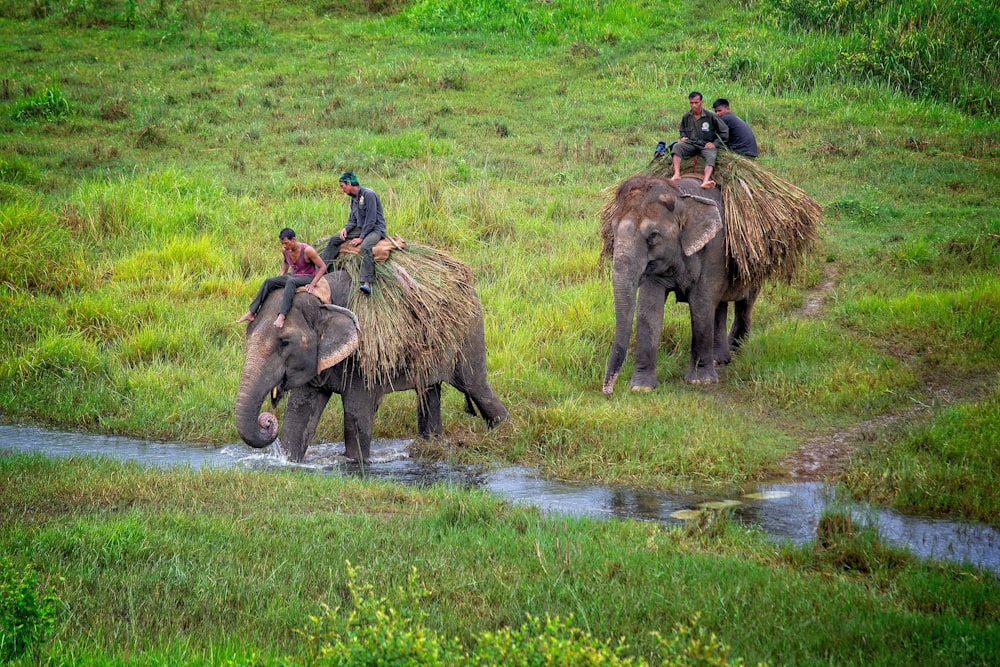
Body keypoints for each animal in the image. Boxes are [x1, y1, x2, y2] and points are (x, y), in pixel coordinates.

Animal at [234, 268, 508, 462]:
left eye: (285, 342)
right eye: (247, 333)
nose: (267, 421)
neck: (323, 298)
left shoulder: (364, 353)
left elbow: (356, 414)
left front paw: (357, 464)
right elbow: (299, 414)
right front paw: (290, 462)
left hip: (469, 331)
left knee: (475, 386)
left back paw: (503, 432)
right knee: (429, 392)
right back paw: (430, 446)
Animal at [604, 175, 760, 392]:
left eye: (653, 236)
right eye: (612, 230)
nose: (608, 391)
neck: (681, 195)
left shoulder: (715, 248)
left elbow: (701, 304)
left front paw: (700, 381)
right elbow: (648, 309)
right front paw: (641, 388)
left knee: (745, 300)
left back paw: (734, 350)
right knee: (719, 305)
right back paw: (720, 360)